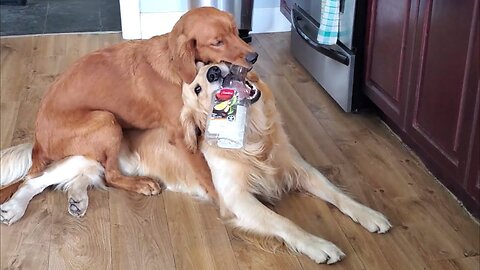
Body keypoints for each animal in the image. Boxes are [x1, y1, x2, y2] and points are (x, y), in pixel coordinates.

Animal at [0, 63, 390, 264]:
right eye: (198, 87)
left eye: (211, 71)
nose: (216, 71)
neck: (252, 138)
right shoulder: (236, 199)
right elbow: (284, 222)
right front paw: (318, 245)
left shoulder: (299, 168)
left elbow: (337, 193)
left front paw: (370, 214)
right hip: (95, 137)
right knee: (35, 181)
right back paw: (14, 209)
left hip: (90, 161)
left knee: (94, 179)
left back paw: (78, 201)